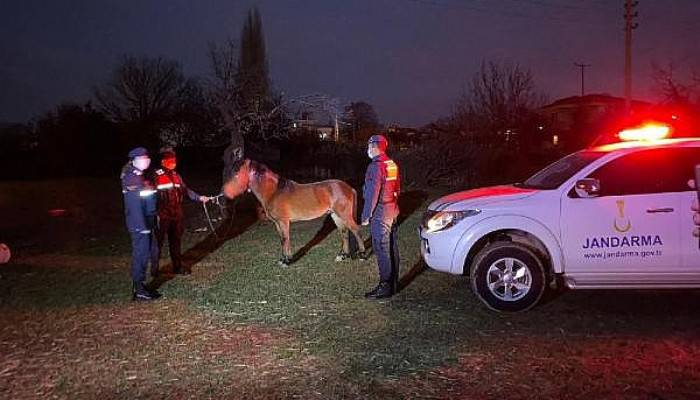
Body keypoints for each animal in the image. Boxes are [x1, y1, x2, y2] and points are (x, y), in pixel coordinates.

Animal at [223, 159, 366, 266]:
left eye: (237, 174)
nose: (225, 192)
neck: (274, 192)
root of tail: (349, 188)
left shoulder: (284, 222)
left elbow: (286, 239)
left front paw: (287, 261)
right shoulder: (277, 223)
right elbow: (282, 239)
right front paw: (282, 260)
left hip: (344, 215)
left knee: (356, 230)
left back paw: (363, 256)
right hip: (335, 215)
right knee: (344, 232)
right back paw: (342, 256)